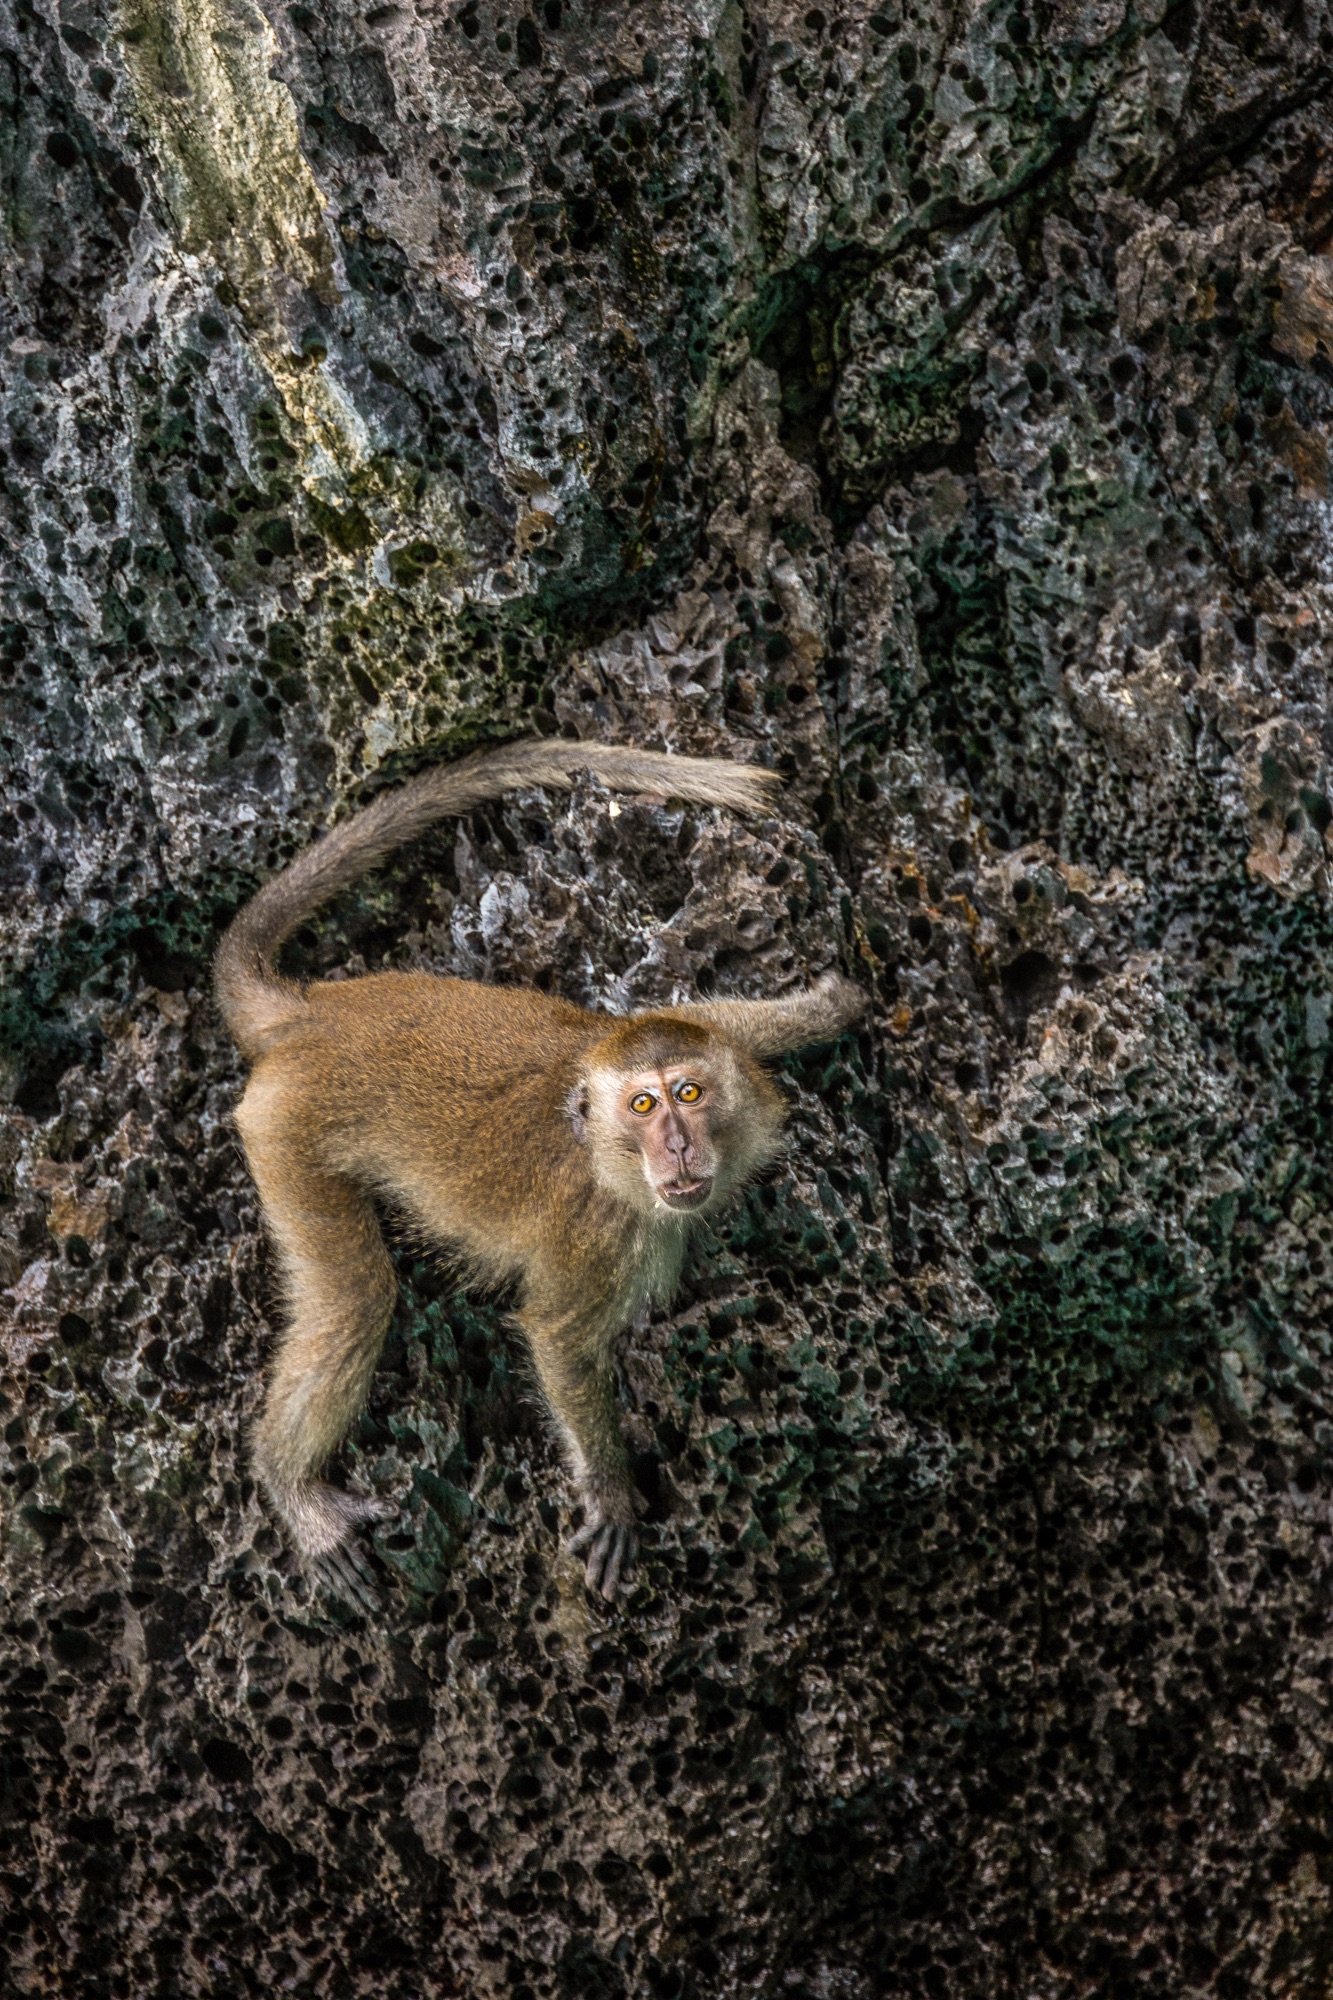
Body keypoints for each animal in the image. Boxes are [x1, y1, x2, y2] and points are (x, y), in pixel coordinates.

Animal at [214, 739, 865, 1603]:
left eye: (689, 1094)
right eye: (644, 1107)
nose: (677, 1147)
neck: (606, 1156)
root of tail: (310, 1017)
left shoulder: (682, 1036)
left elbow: (723, 1016)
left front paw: (830, 1003)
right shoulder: (602, 1239)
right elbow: (557, 1342)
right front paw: (613, 1493)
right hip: (286, 1130)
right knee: (354, 1301)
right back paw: (293, 1488)